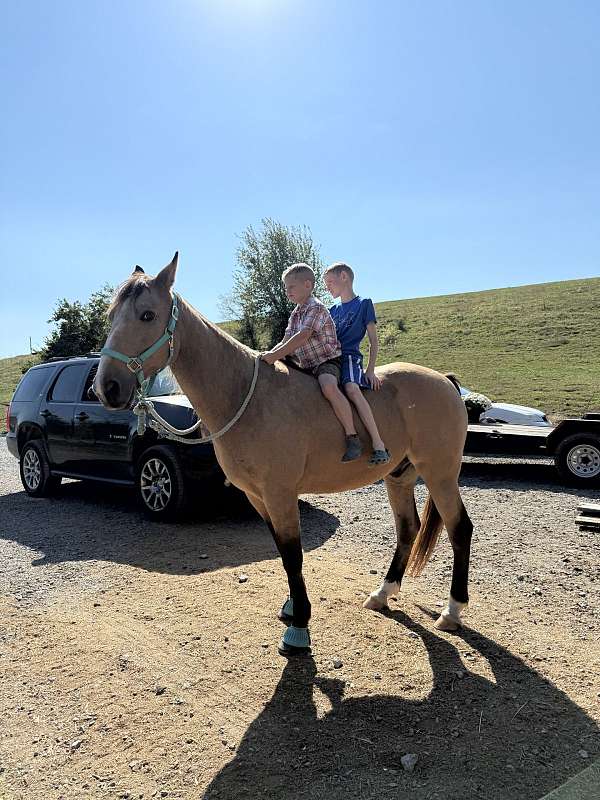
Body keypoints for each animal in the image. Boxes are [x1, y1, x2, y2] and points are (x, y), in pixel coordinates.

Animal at [94, 253, 473, 656]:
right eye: (111, 315)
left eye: (147, 315)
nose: (107, 387)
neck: (247, 396)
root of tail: (446, 382)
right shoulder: (257, 496)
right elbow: (281, 549)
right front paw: (292, 607)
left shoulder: (280, 493)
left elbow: (293, 554)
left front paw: (299, 628)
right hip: (399, 476)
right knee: (407, 530)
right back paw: (382, 593)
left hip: (440, 474)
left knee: (459, 528)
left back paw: (452, 611)